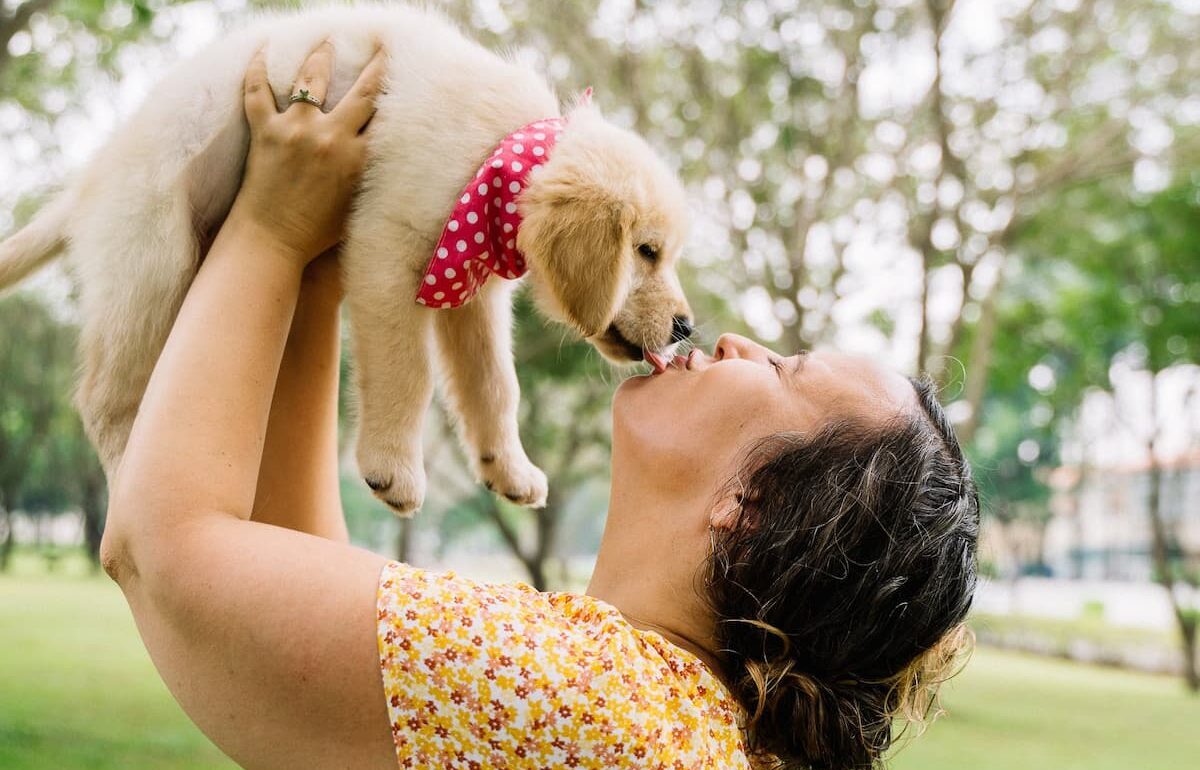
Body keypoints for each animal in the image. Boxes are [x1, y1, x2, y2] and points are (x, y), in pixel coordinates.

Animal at [0, 2, 696, 515]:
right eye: (646, 252)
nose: (686, 327)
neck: (495, 150)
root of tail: (89, 182)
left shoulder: (470, 286)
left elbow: (495, 384)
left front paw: (509, 468)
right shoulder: (386, 246)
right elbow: (410, 373)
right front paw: (393, 469)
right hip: (151, 262)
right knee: (105, 400)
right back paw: (128, 477)